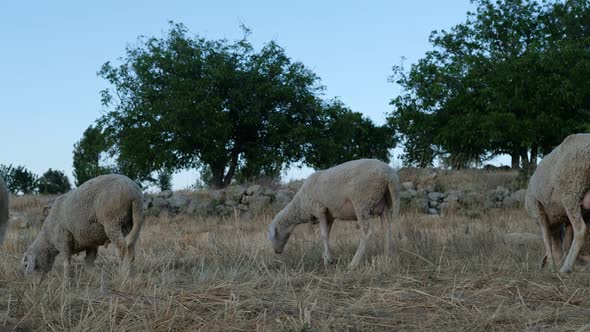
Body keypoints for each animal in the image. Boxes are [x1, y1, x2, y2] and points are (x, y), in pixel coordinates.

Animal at [268, 158, 402, 268]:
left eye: (272, 236)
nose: (276, 252)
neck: (300, 205)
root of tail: (389, 175)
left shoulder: (319, 209)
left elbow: (323, 235)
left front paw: (328, 260)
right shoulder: (330, 215)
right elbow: (327, 234)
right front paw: (325, 257)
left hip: (362, 201)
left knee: (366, 233)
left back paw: (353, 263)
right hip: (383, 203)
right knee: (387, 229)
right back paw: (386, 258)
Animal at [528, 134, 590, 274]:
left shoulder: (537, 210)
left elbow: (547, 240)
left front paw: (552, 266)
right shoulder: (564, 219)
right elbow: (565, 243)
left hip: (571, 191)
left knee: (580, 230)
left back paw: (565, 268)